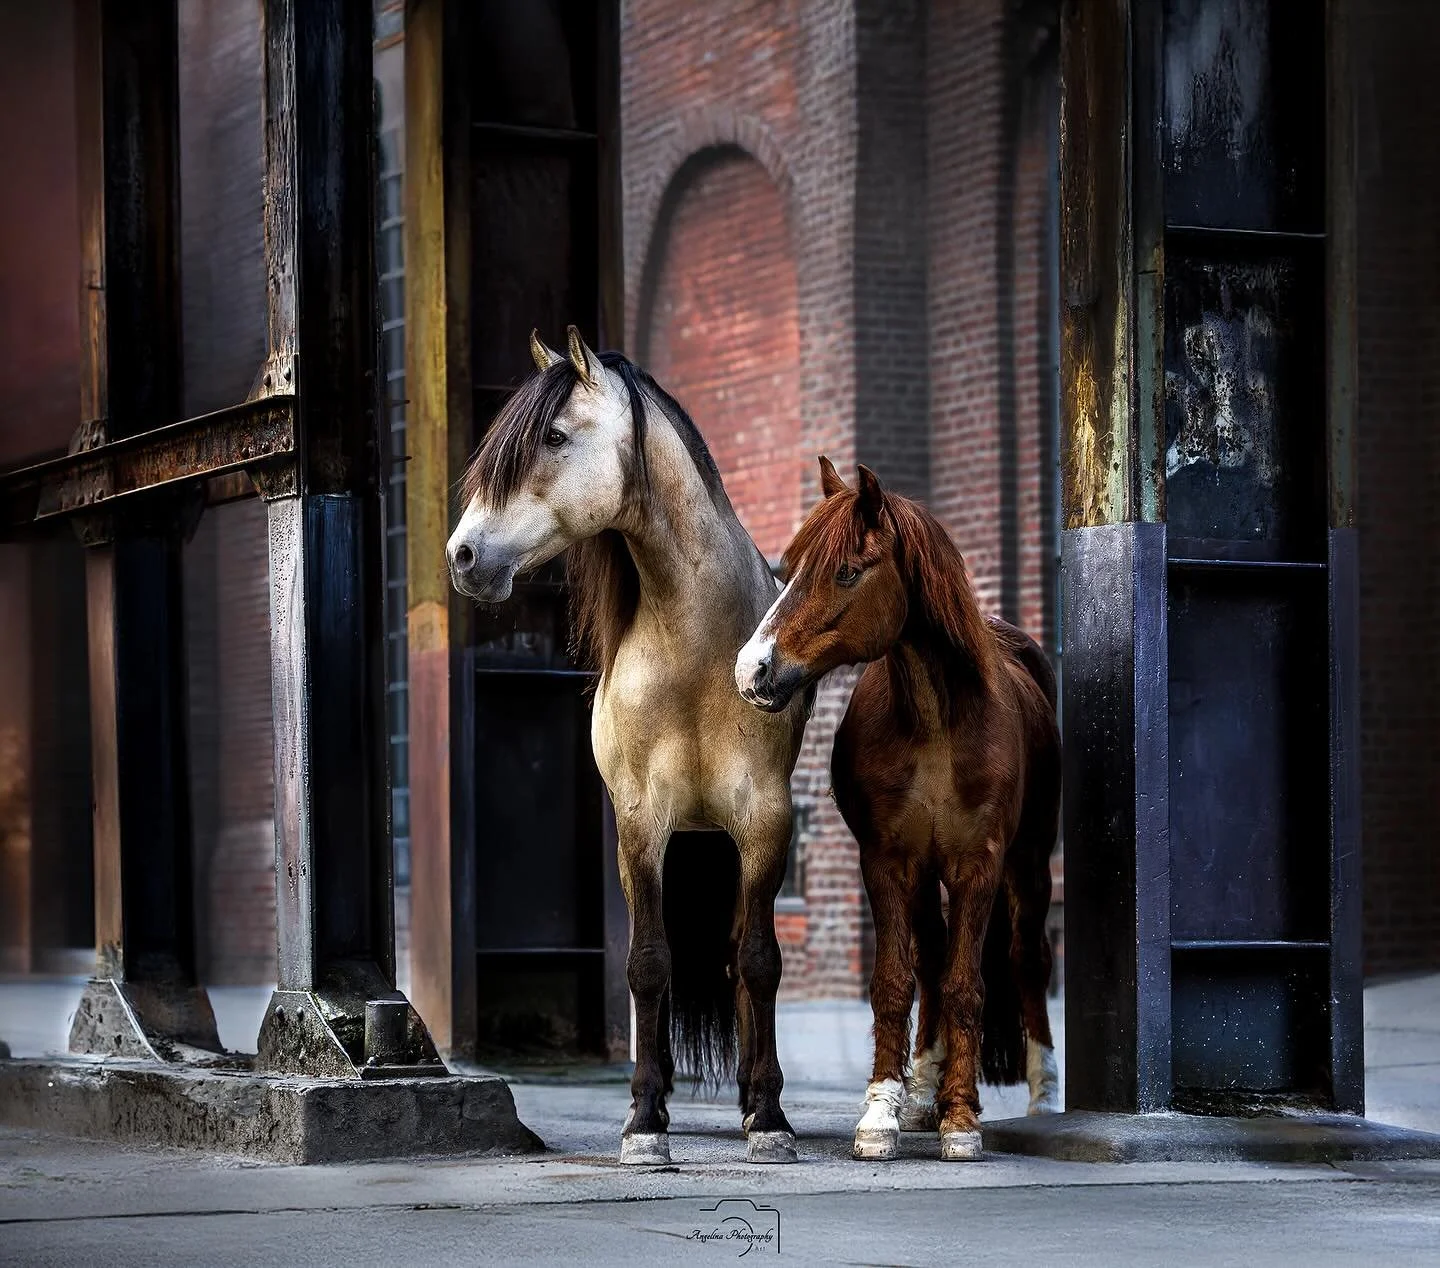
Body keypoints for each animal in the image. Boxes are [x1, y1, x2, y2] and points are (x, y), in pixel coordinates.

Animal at [447, 327, 809, 1165]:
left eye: (552, 437)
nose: (463, 557)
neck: (702, 648)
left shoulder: (765, 822)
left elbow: (759, 962)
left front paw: (770, 1118)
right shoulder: (643, 824)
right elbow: (648, 965)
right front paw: (645, 1123)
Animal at [734, 457, 1060, 1162]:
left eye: (847, 571)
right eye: (787, 567)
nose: (753, 669)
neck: (937, 721)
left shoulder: (978, 865)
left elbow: (968, 984)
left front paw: (962, 1120)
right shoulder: (886, 861)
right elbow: (895, 981)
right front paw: (884, 1111)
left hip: (1029, 867)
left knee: (1027, 959)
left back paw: (1043, 1095)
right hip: (922, 876)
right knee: (931, 962)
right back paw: (921, 1095)